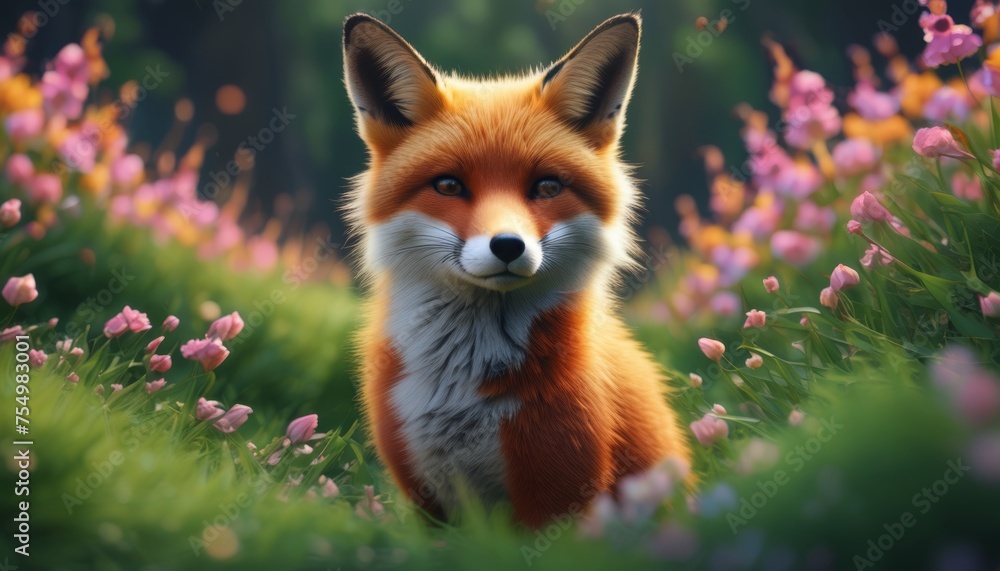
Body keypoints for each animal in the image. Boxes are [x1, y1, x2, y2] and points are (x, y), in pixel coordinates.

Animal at [342, 12, 692, 528]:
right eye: (449, 185)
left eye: (546, 187)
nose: (508, 244)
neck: (463, 386)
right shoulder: (427, 499)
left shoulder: (559, 494)